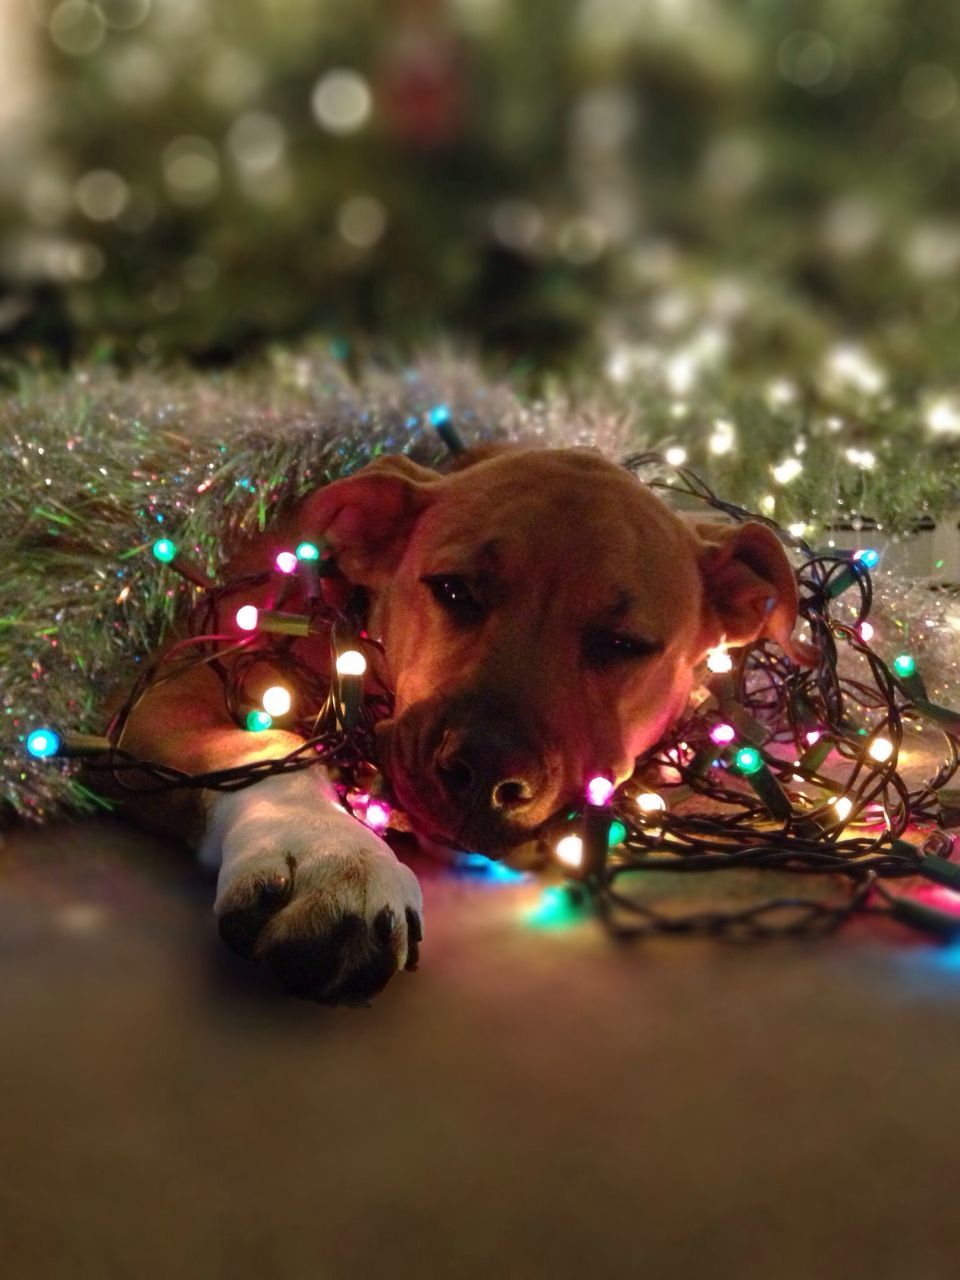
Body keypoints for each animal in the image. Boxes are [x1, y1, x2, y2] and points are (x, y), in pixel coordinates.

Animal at [120, 445, 814, 1003]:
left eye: (624, 644)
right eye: (453, 590)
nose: (484, 769)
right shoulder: (174, 687)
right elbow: (268, 739)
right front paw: (330, 853)